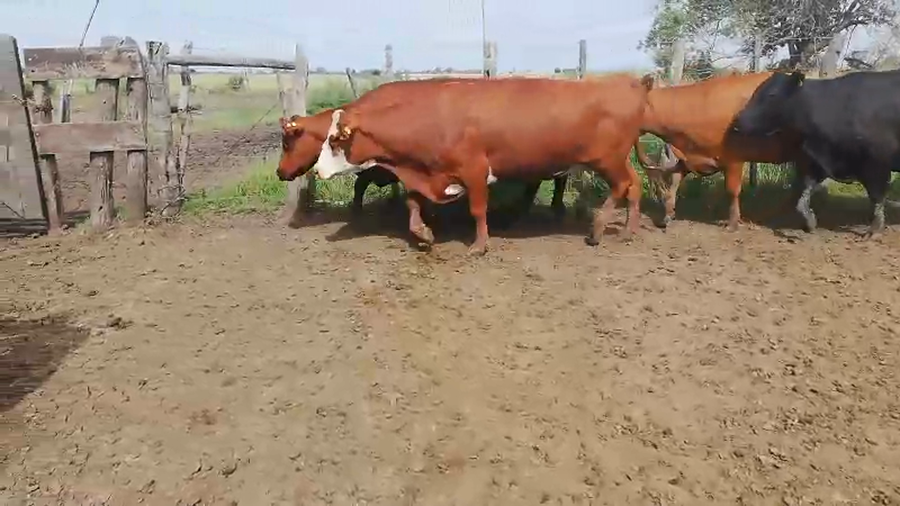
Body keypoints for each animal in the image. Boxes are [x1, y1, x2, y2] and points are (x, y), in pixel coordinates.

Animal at [287, 75, 649, 255]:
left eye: (337, 140)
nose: (318, 170)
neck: (436, 119)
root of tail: (630, 84)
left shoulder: (475, 171)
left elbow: (477, 210)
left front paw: (478, 246)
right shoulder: (425, 173)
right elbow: (413, 206)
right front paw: (425, 235)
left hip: (607, 161)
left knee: (621, 186)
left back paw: (598, 228)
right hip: (616, 161)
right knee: (634, 186)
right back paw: (628, 230)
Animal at [633, 71, 803, 231]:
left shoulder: (734, 157)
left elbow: (732, 190)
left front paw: (732, 223)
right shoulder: (691, 157)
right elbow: (675, 182)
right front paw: (668, 215)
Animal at [731, 70, 900, 238]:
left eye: (772, 94)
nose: (738, 120)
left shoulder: (876, 164)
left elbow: (877, 198)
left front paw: (874, 230)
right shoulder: (817, 163)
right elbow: (802, 199)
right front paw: (810, 223)